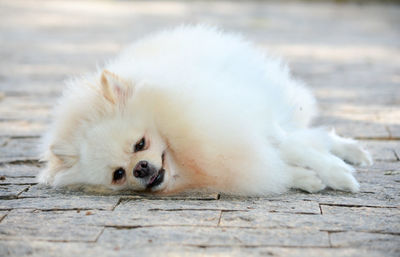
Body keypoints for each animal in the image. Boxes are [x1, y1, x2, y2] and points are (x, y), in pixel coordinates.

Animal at [37, 25, 372, 194]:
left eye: (140, 144)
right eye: (118, 175)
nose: (140, 168)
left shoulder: (249, 124)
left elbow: (296, 149)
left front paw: (339, 175)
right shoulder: (242, 158)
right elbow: (276, 168)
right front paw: (307, 179)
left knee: (309, 135)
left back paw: (353, 153)